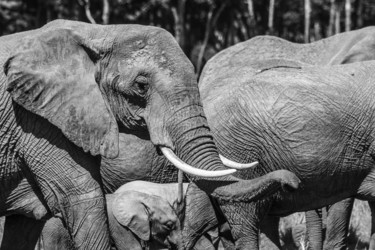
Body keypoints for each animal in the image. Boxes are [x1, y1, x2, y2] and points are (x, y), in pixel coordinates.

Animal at [0, 18, 302, 249]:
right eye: (141, 86)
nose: (292, 182)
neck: (99, 32)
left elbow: (24, 226)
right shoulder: (35, 121)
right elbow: (81, 198)